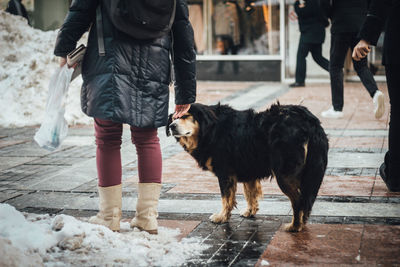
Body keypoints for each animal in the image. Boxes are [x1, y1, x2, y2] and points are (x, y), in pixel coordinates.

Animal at [166, 103, 328, 232]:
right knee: (305, 201)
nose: (171, 126)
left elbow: (226, 198)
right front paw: (250, 211)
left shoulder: (225, 172)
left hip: (284, 174)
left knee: (298, 201)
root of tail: (309, 120)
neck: (210, 129)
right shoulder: (249, 170)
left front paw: (222, 216)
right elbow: (250, 194)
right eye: (173, 118)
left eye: (186, 116)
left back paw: (295, 226)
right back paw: (301, 223)